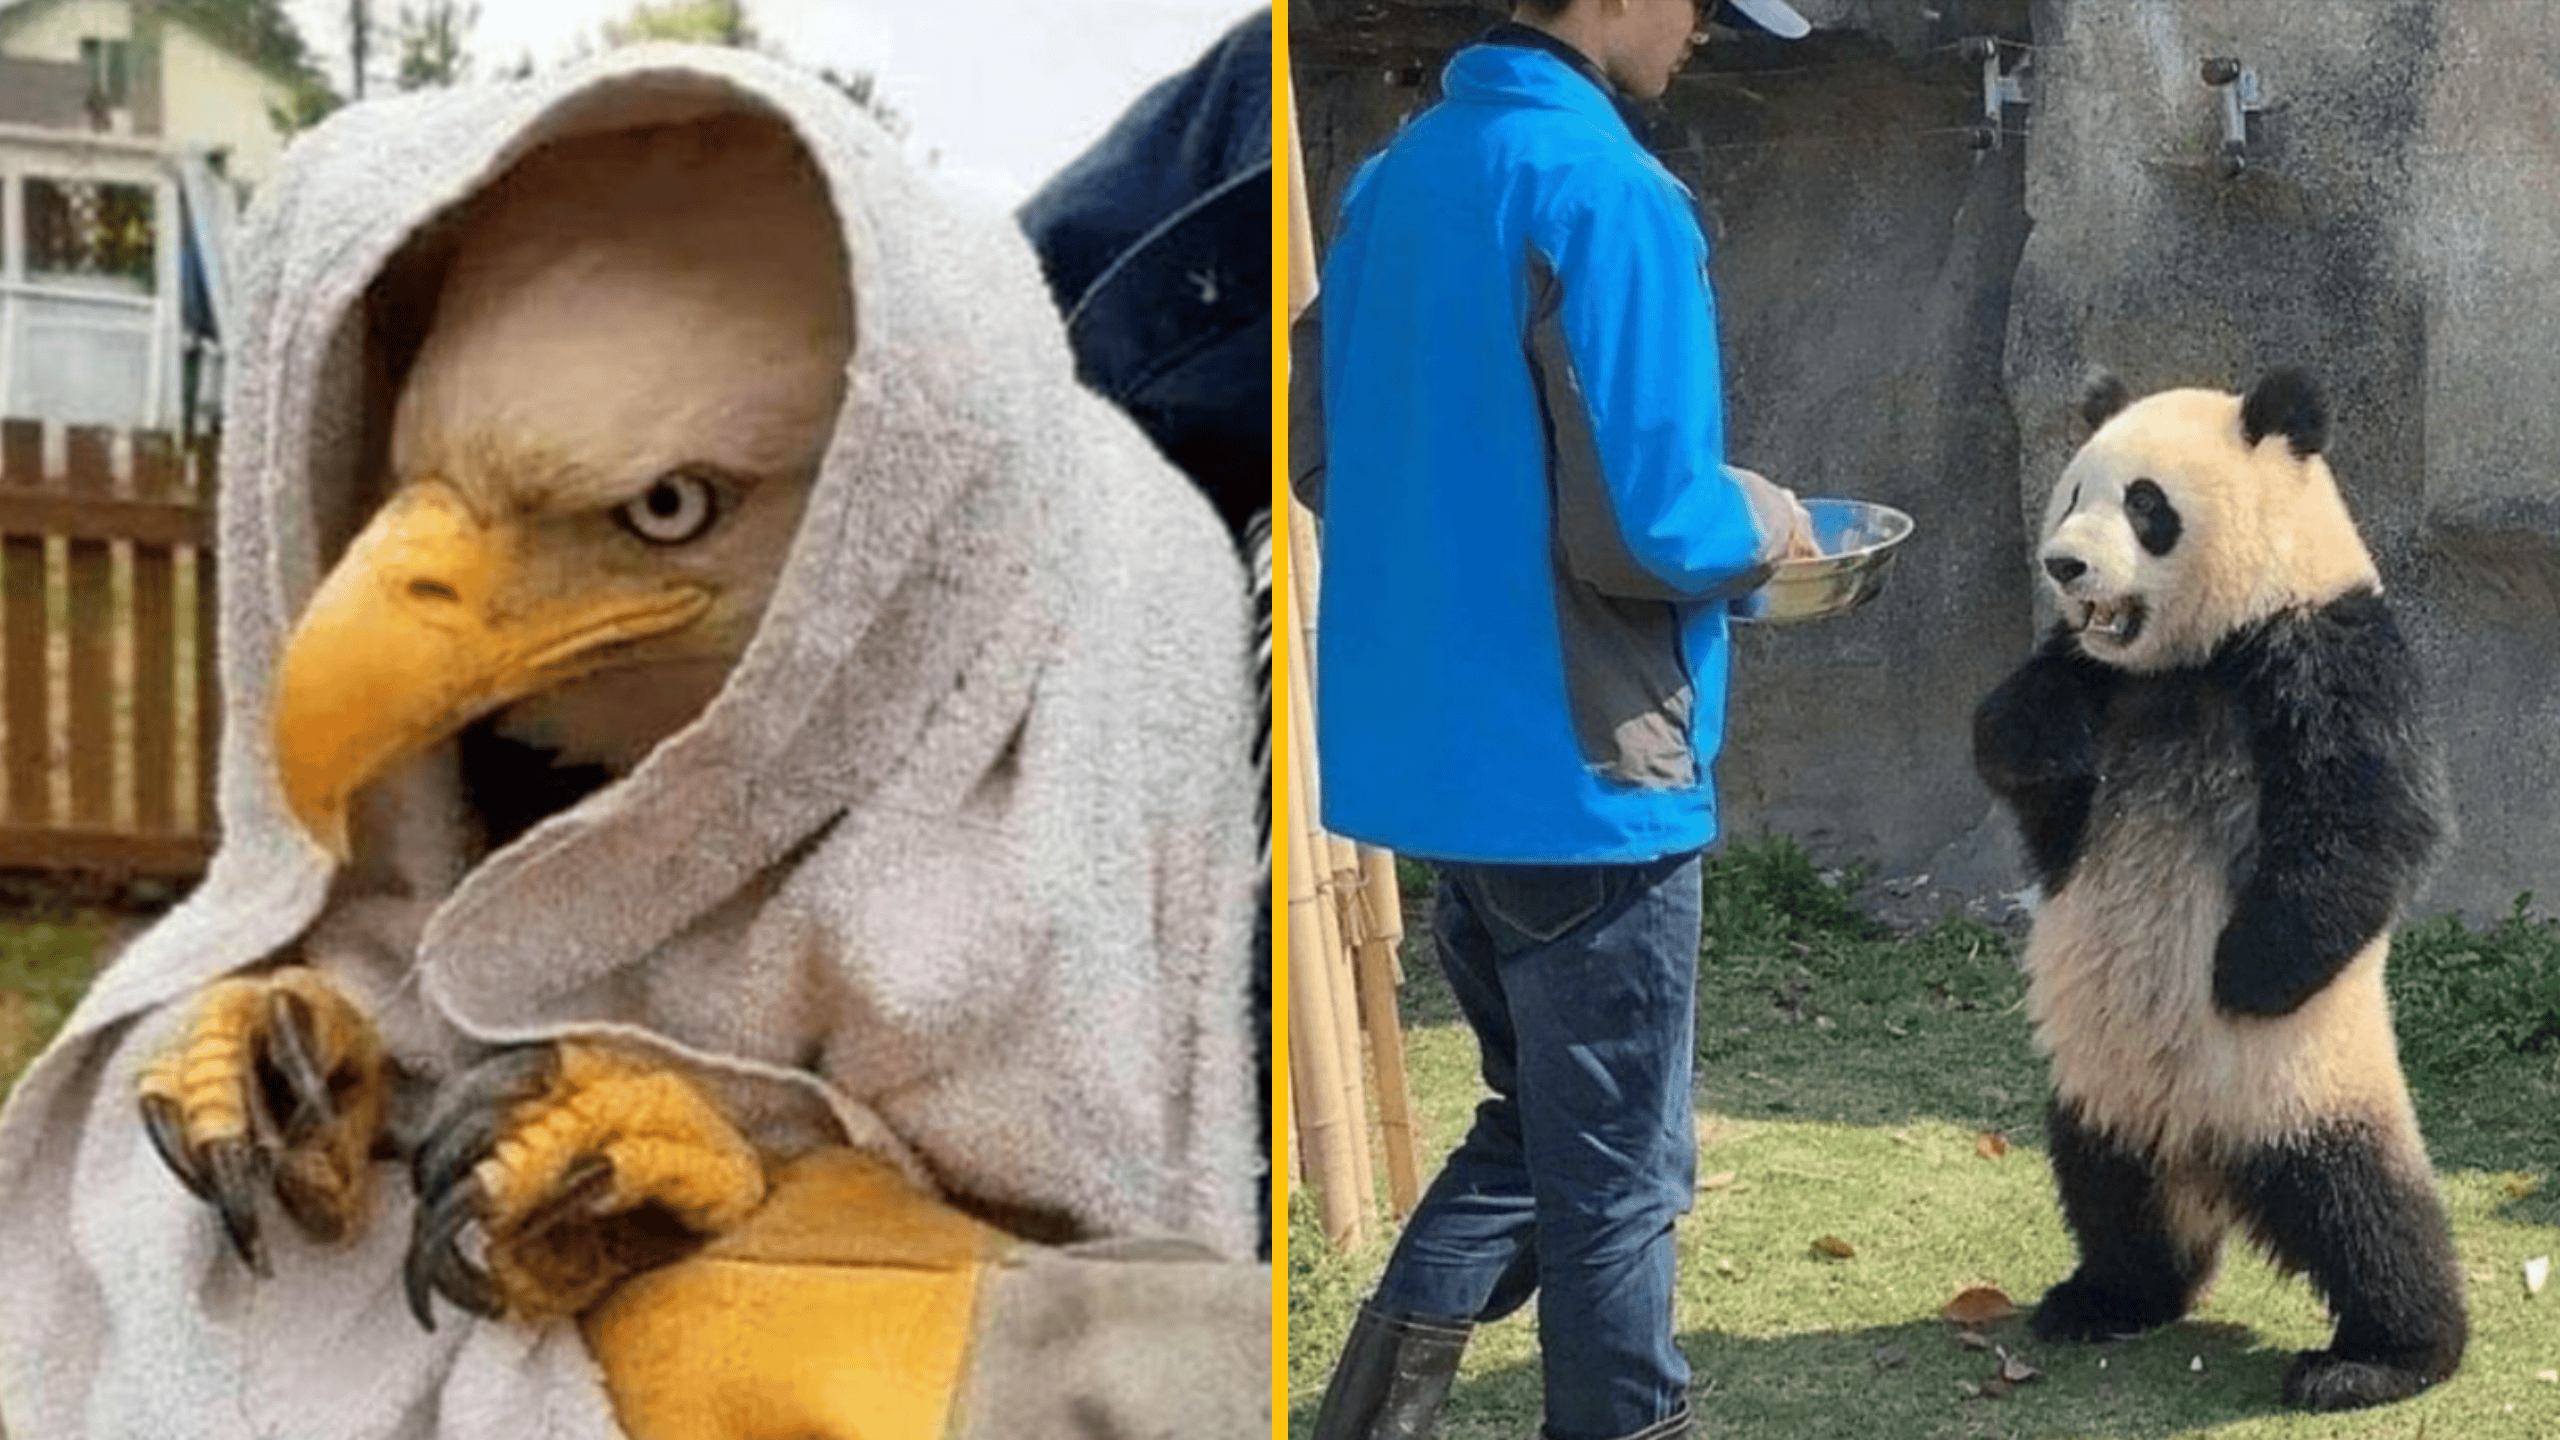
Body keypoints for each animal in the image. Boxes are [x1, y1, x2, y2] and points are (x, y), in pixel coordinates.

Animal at [1972, 367, 2467, 1411]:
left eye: (2145, 505)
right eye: (2072, 495)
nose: (2064, 567)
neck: (2193, 657)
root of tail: (2205, 1154)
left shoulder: (2322, 642)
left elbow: (2371, 817)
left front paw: (2247, 971)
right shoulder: (2097, 678)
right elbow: (2030, 769)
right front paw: (2051, 736)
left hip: (2304, 1083)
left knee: (2364, 1210)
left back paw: (2381, 1356)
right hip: (2099, 1083)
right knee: (2107, 1187)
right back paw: (2111, 1297)